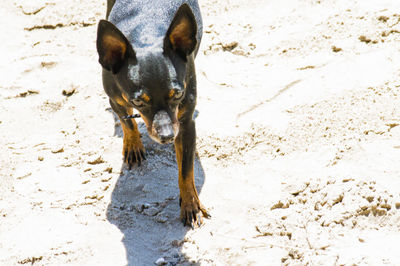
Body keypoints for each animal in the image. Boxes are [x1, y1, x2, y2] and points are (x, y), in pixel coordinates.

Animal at [96, 0, 209, 228]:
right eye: (138, 101)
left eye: (178, 94)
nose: (166, 136)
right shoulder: (116, 100)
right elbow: (127, 123)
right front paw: (133, 145)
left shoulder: (185, 124)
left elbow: (186, 171)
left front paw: (190, 205)